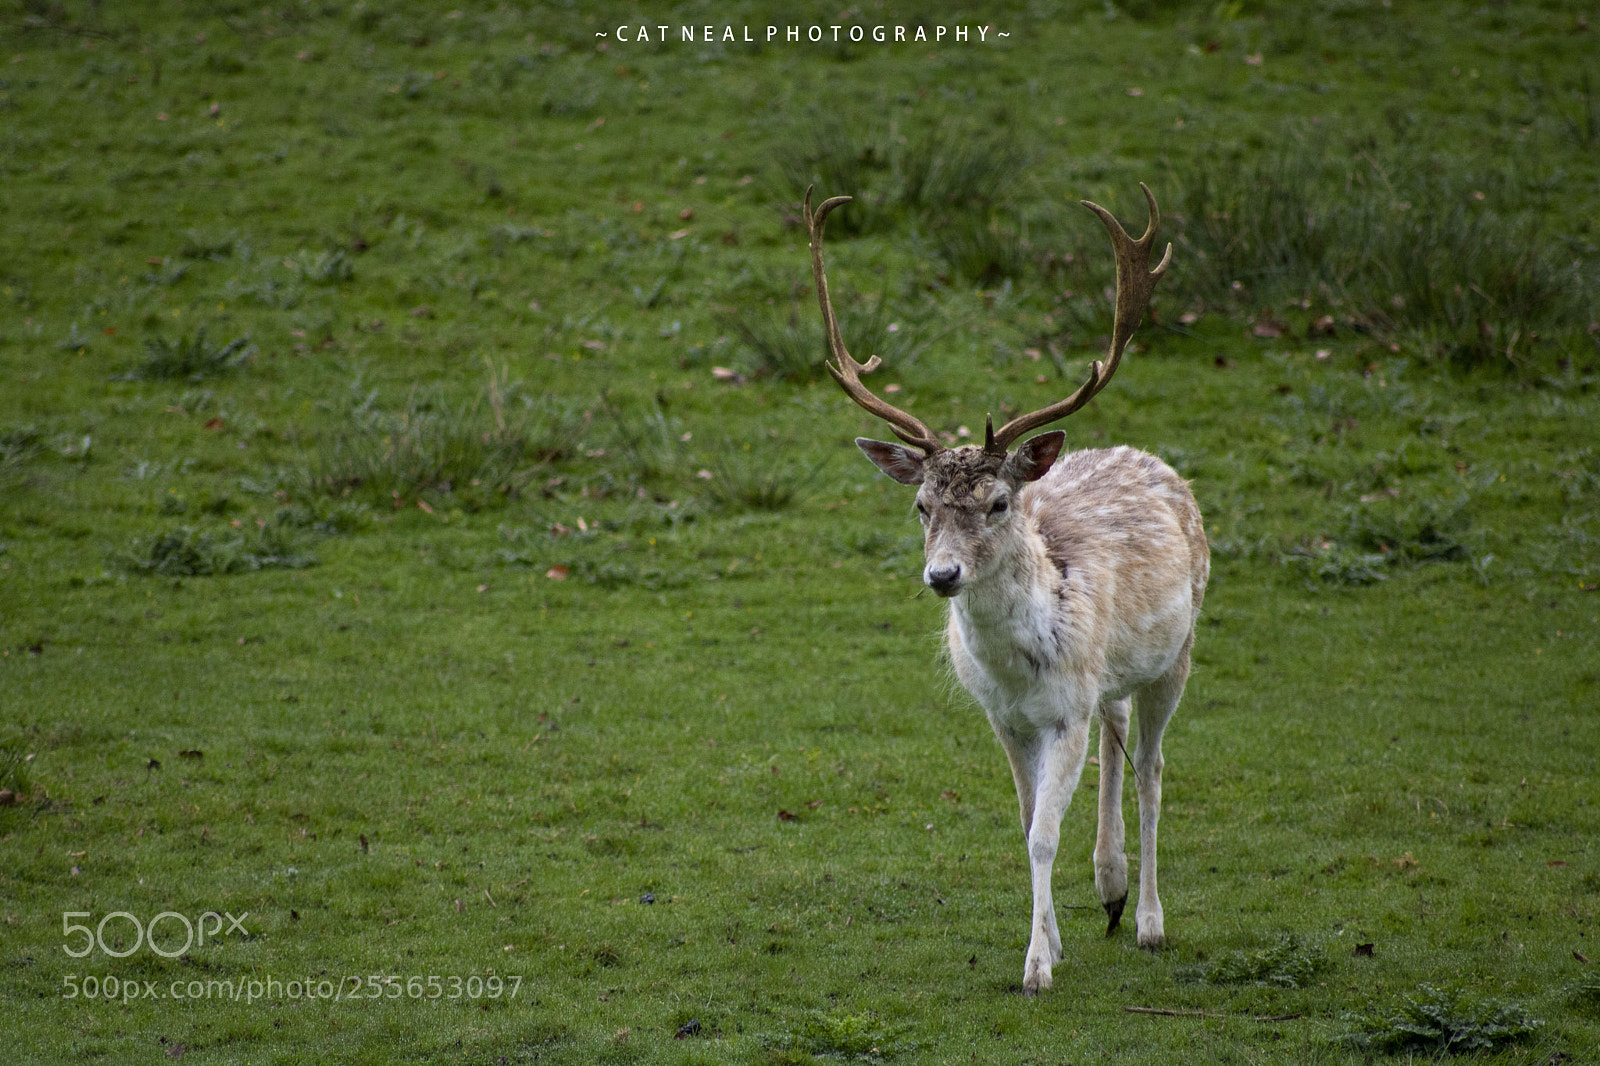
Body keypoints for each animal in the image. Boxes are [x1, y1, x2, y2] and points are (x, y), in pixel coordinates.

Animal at [803, 183, 1208, 993]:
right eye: (920, 504)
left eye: (996, 503)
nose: (942, 574)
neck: (1022, 669)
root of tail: (1152, 458)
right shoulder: (1005, 717)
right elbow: (1025, 826)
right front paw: (1052, 943)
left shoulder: (1064, 711)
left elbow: (1044, 836)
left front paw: (1035, 969)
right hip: (1112, 677)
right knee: (1117, 731)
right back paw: (1110, 887)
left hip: (1177, 653)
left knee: (1150, 769)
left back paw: (1148, 919)